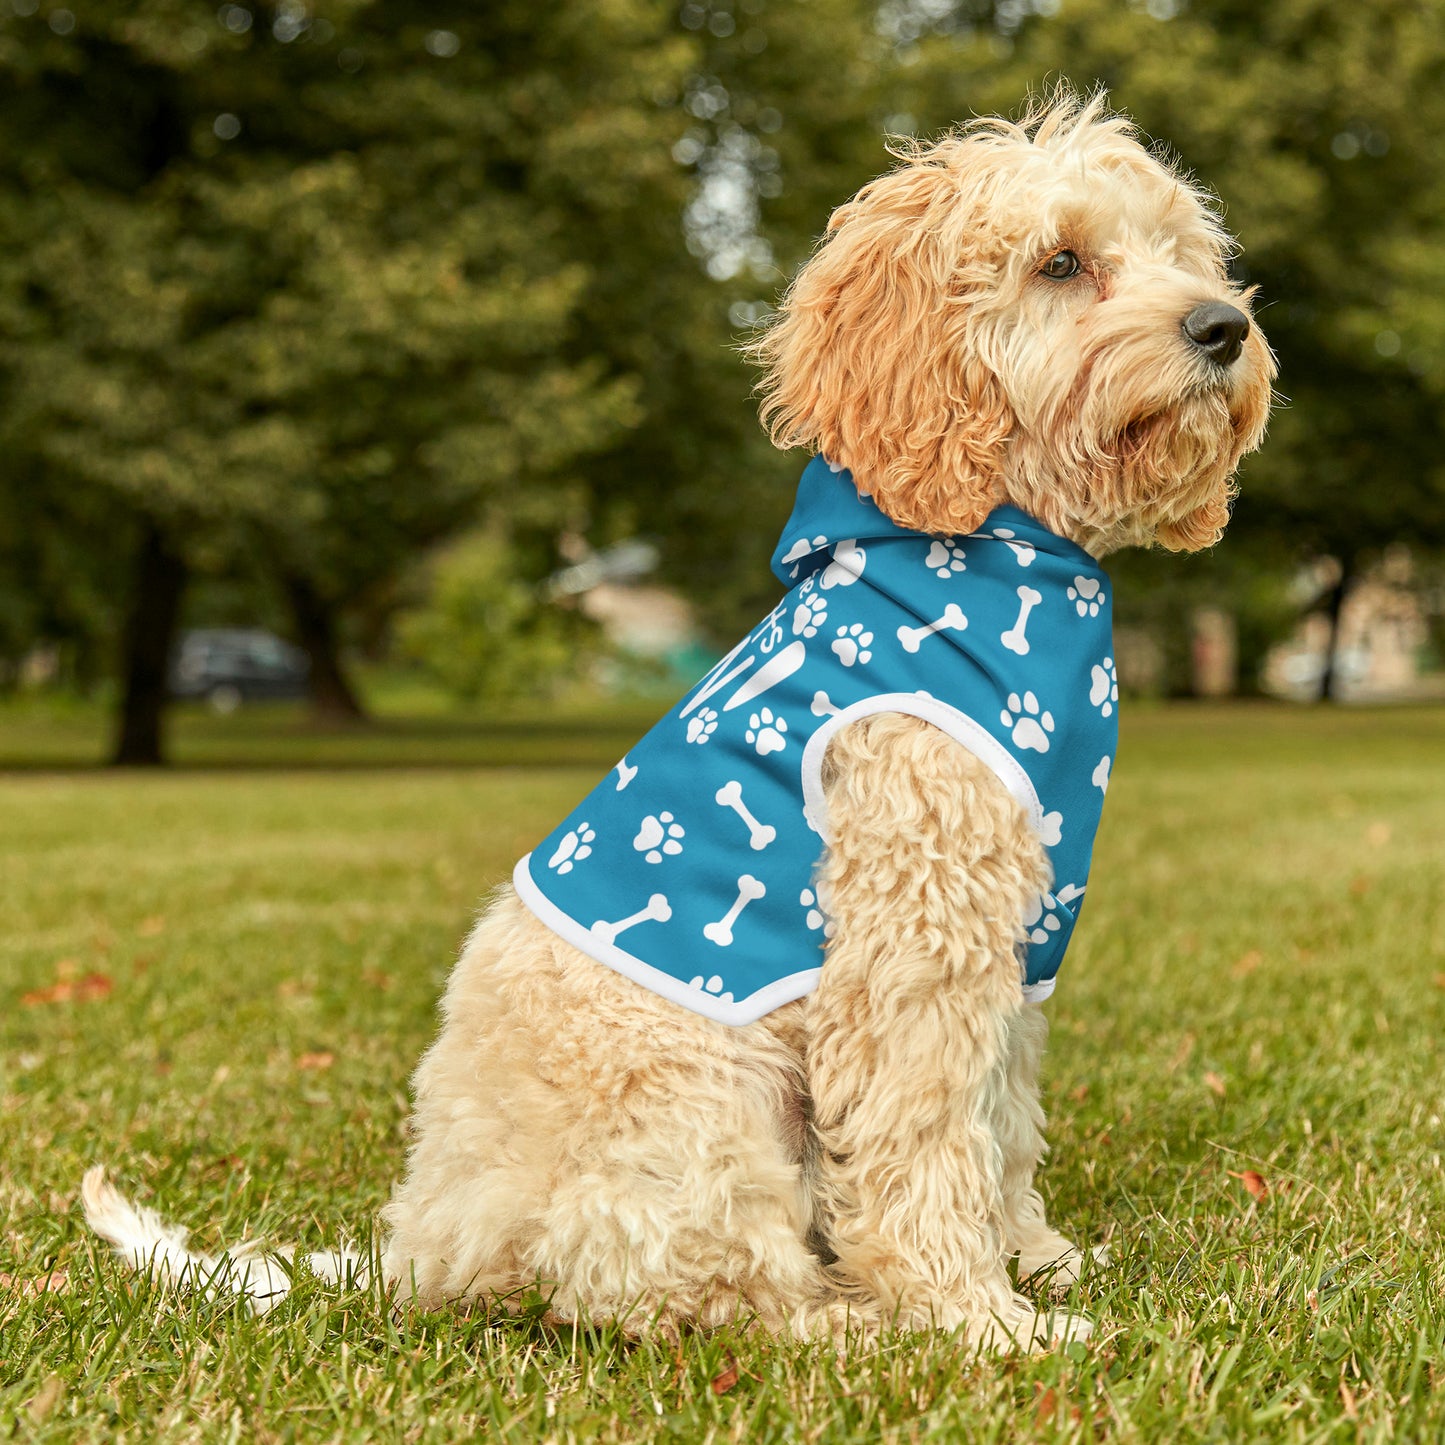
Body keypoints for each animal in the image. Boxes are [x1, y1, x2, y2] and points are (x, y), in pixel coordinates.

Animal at [84, 96, 1271, 1346]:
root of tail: (423, 1247)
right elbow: (925, 1140)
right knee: (700, 1287)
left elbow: (1000, 1122)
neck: (992, 550)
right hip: (704, 1103)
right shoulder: (913, 940)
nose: (1222, 326)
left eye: (1180, 253)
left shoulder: (1016, 941)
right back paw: (849, 1319)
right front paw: (977, 1319)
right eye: (1060, 262)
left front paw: (1034, 1259)